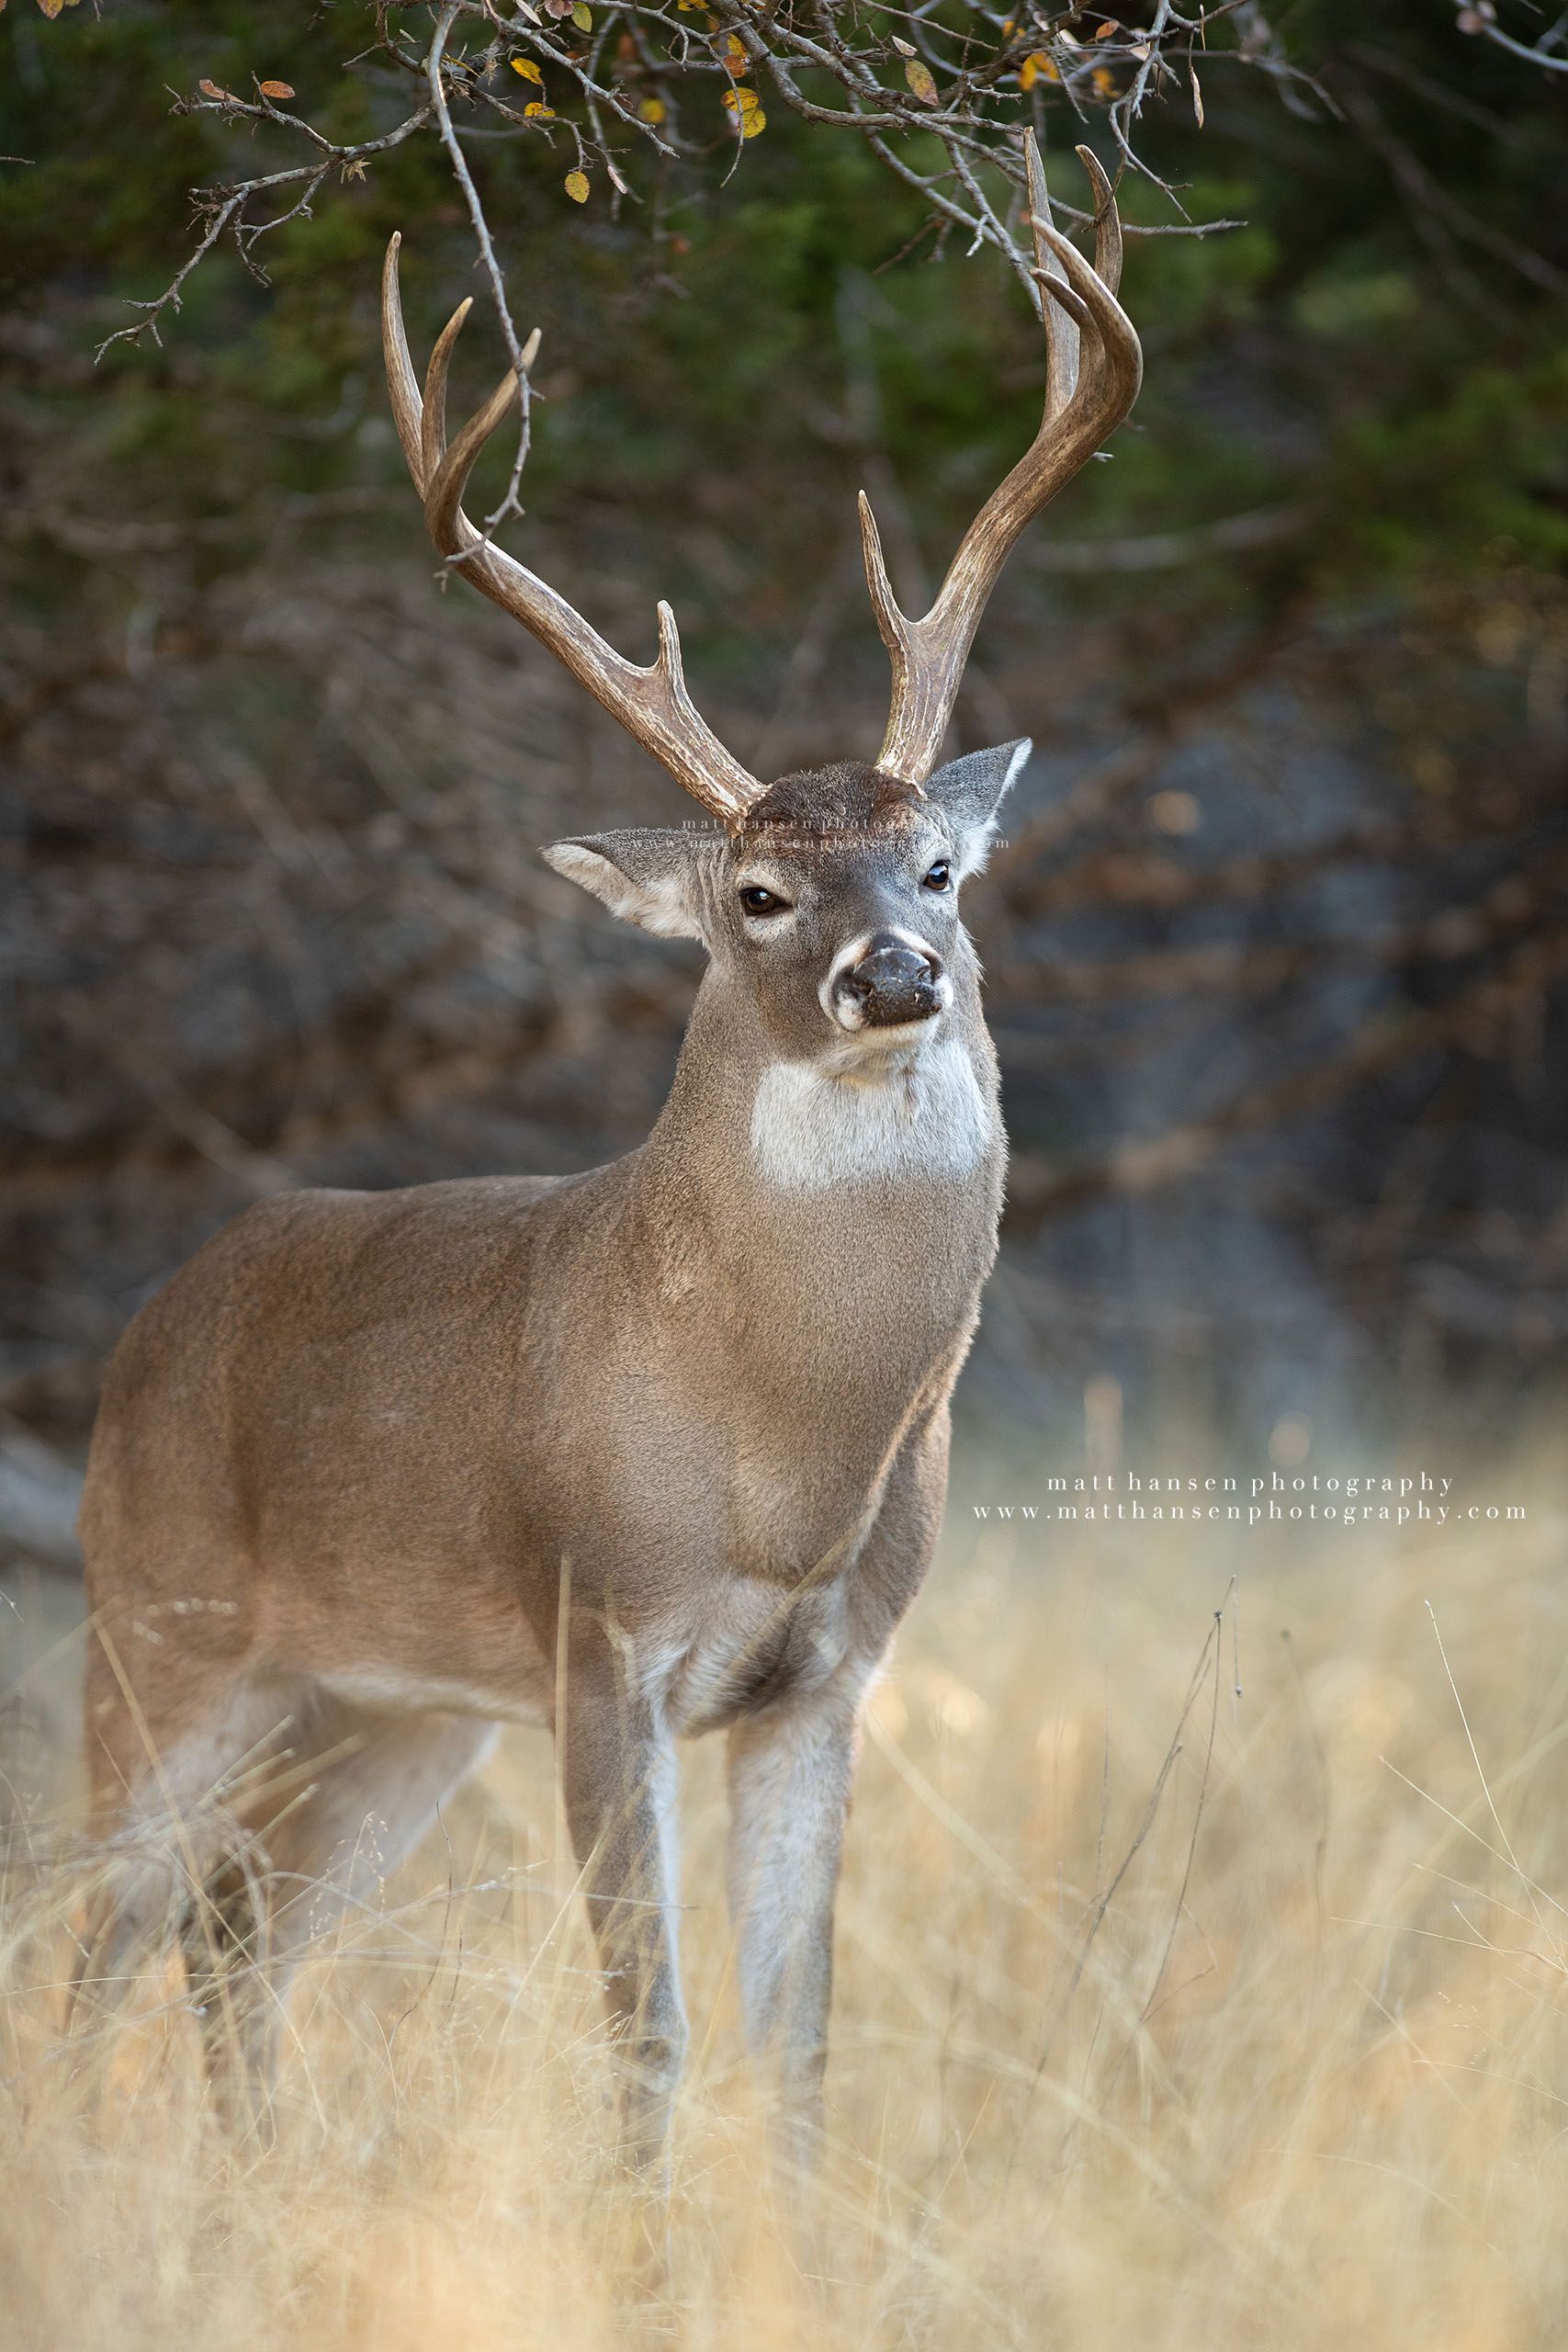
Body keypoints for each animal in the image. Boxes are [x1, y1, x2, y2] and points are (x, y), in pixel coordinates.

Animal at [76, 137, 1141, 2174]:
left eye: (939, 866)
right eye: (756, 893)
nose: (894, 972)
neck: (778, 1456)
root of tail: (145, 1322)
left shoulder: (830, 1678)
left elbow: (794, 2049)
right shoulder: (600, 1644)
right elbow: (645, 2035)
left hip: (387, 1704)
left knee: (234, 1936)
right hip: (154, 1624)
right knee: (89, 1942)